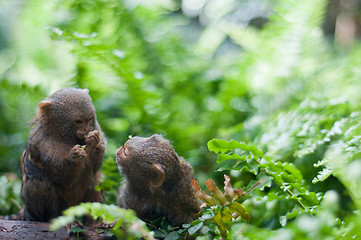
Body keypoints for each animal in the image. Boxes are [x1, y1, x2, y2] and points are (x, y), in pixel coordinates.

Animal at [20, 87, 105, 222]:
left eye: (90, 118)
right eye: (78, 121)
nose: (86, 129)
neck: (61, 136)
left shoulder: (97, 128)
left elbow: (95, 169)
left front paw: (93, 141)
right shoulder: (42, 145)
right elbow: (62, 178)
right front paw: (75, 156)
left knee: (95, 182)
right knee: (38, 183)